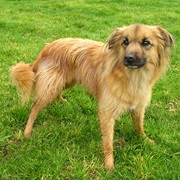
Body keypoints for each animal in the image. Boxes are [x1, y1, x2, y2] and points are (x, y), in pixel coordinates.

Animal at [9, 23, 173, 169]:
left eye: (146, 42)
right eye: (125, 42)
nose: (129, 58)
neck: (131, 76)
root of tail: (47, 47)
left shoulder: (138, 107)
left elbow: (139, 126)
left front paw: (145, 140)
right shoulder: (106, 112)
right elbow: (108, 142)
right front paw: (109, 165)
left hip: (67, 81)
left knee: (57, 92)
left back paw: (61, 100)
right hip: (51, 87)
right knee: (34, 107)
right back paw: (27, 131)